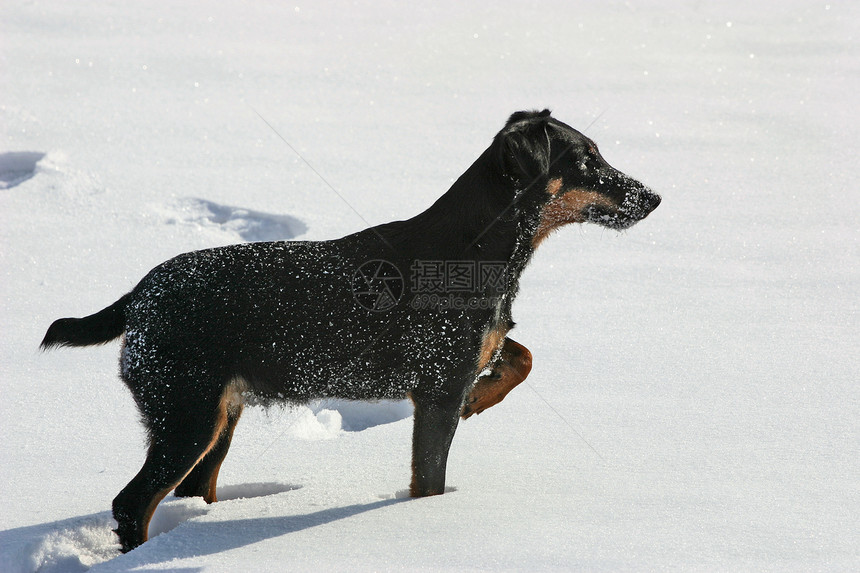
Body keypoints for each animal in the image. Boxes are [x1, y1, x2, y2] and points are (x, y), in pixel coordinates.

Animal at [40, 109, 660, 552]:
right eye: (588, 158)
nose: (653, 197)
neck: (478, 249)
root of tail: (137, 297)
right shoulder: (437, 387)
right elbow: (430, 479)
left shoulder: (470, 356)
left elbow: (522, 354)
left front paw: (481, 399)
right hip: (186, 415)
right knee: (130, 503)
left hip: (219, 414)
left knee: (191, 489)